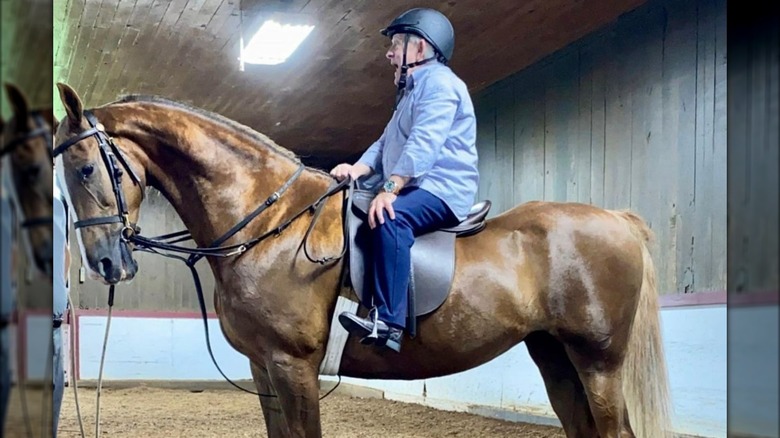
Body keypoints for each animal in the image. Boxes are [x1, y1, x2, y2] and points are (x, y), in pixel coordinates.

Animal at [53, 84, 672, 438]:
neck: (264, 224)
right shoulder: (262, 365)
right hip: (555, 356)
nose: (105, 264)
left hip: (598, 360)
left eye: (84, 169)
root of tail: (616, 218)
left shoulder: (294, 366)